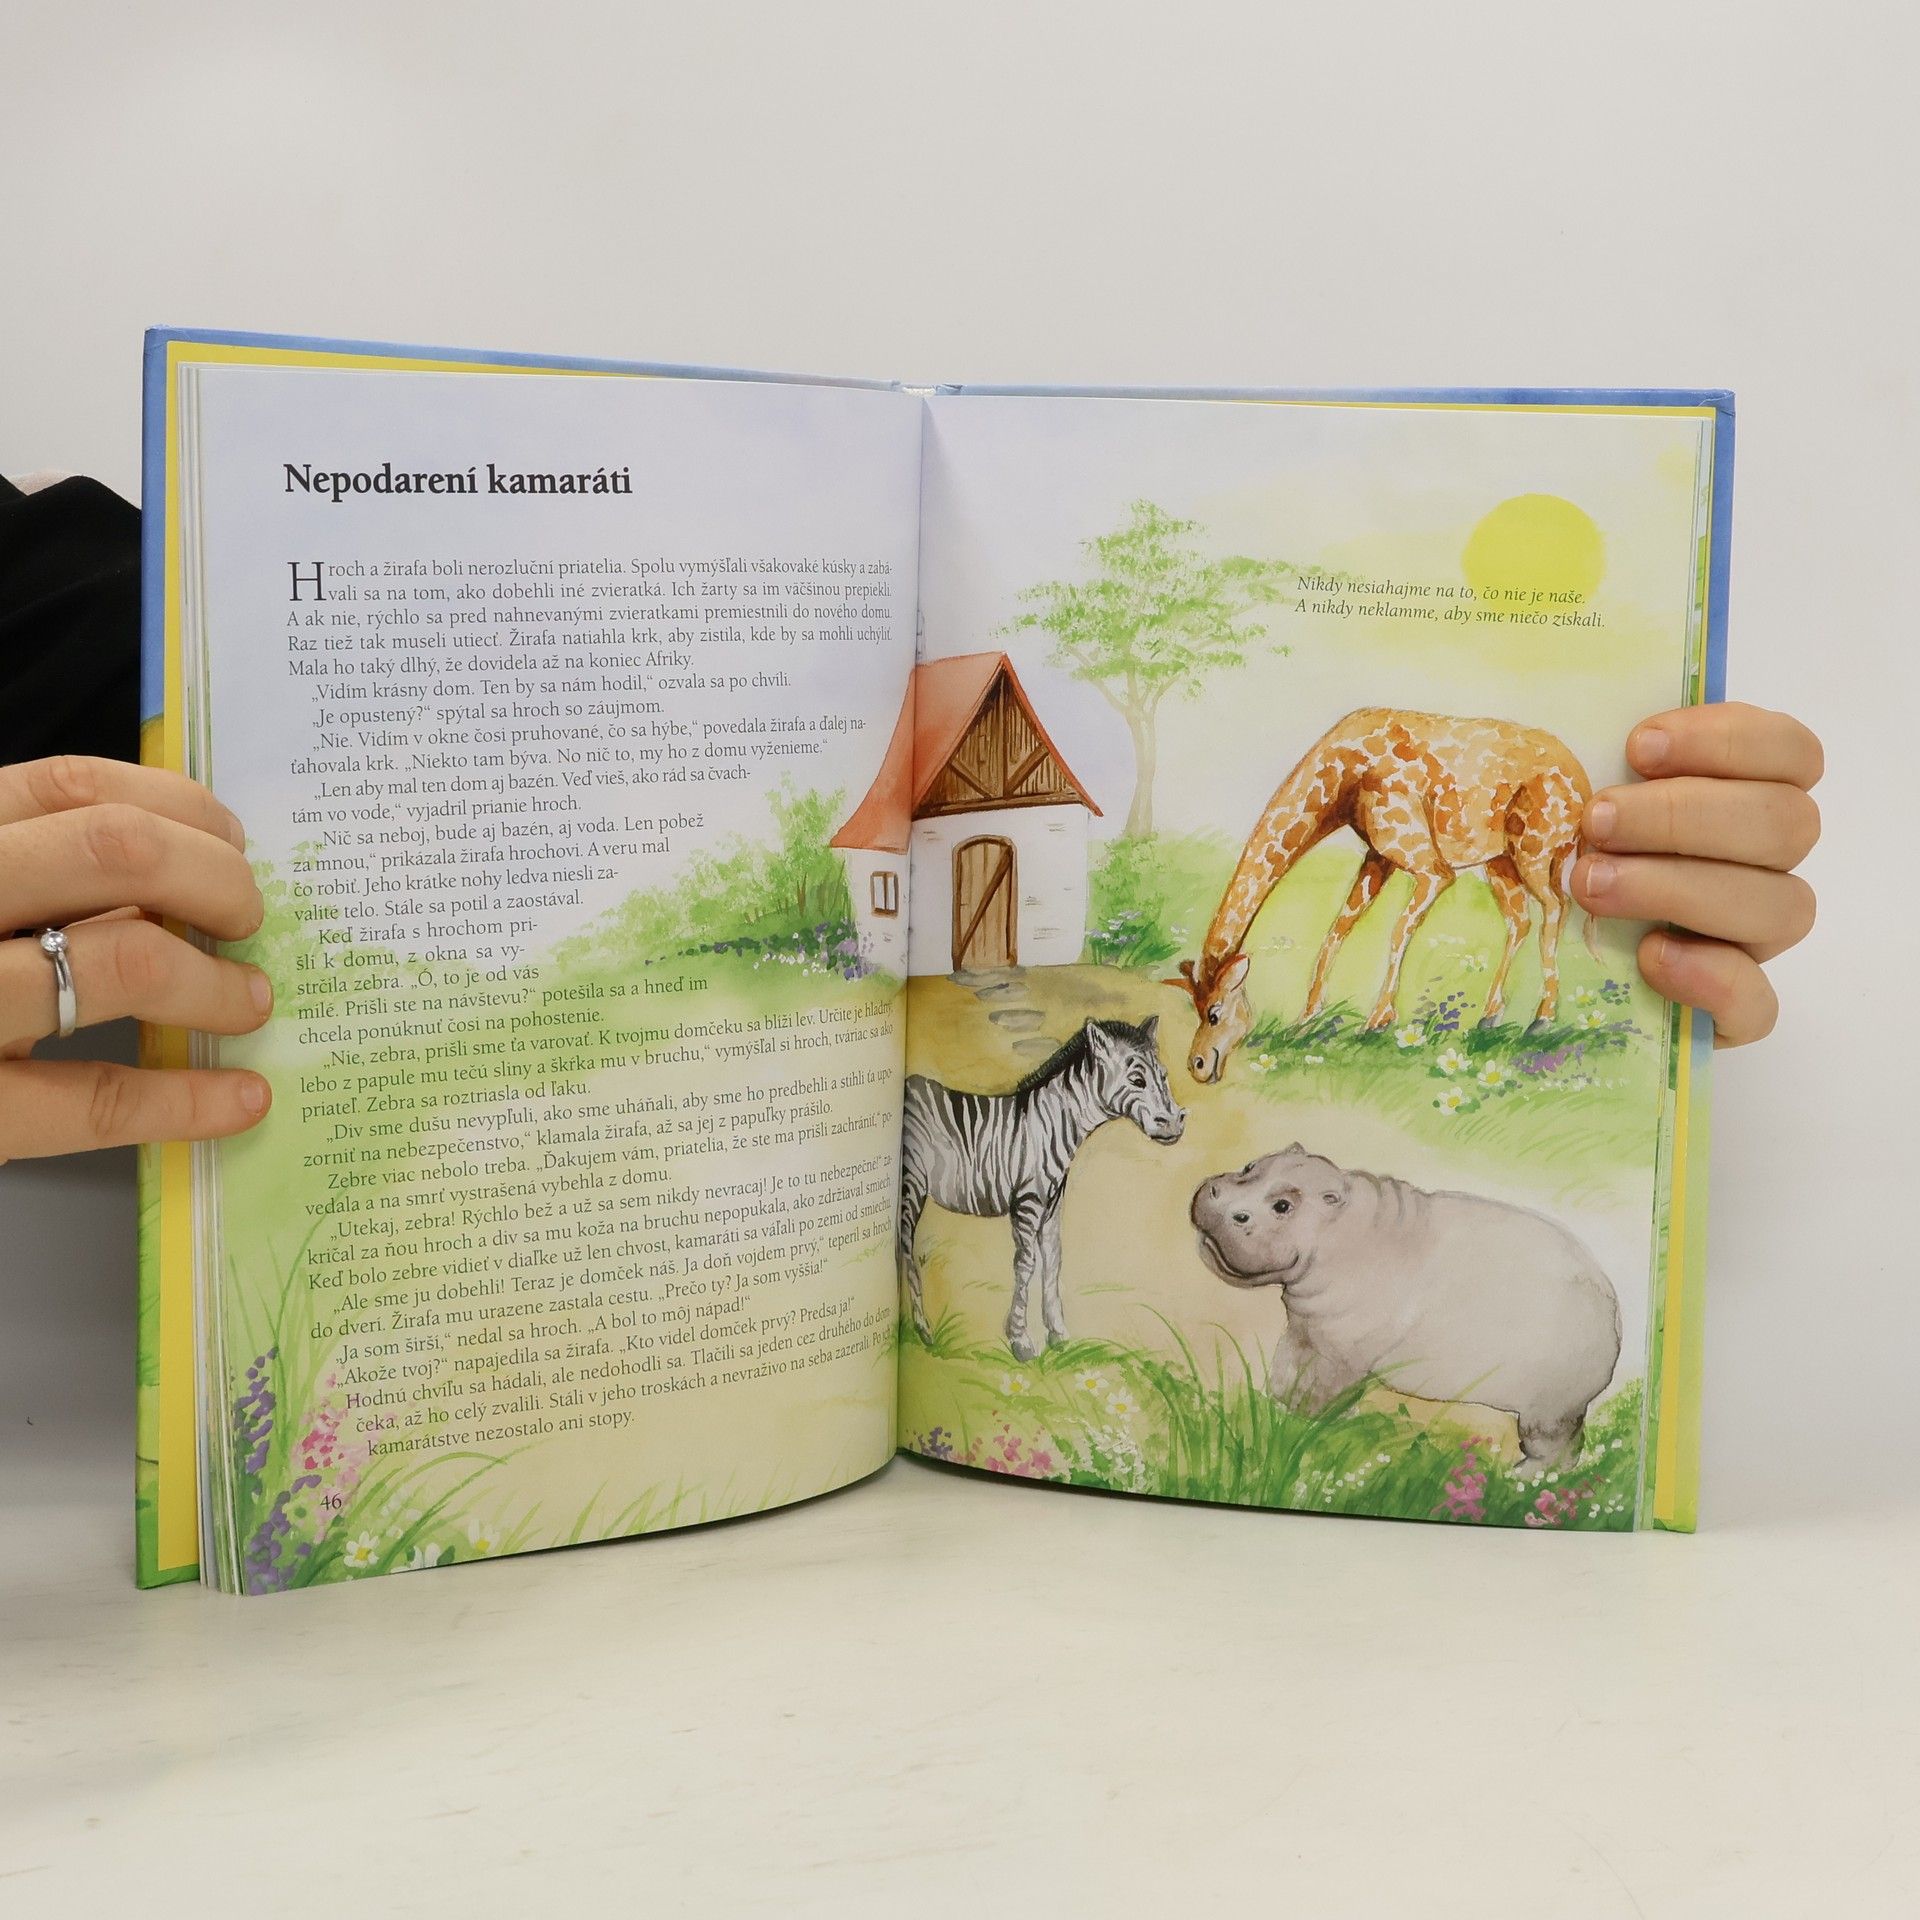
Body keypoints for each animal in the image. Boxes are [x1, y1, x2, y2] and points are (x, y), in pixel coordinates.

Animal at [1191, 1145, 1621, 1472]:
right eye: (1250, 1166)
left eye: (1282, 1205)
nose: (1216, 1197)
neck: (1342, 1229)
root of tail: (1614, 1310)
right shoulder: (1306, 1330)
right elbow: (1286, 1371)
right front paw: (1278, 1403)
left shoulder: (1339, 1353)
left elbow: (1323, 1391)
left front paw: (1308, 1422)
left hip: (1548, 1409)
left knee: (1557, 1448)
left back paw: (1520, 1476)